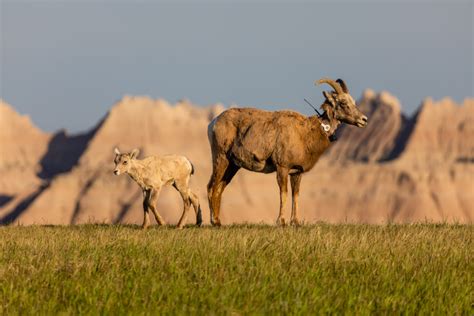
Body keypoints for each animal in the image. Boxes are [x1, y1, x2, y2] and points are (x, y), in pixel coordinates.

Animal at [206, 79, 366, 227]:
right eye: (343, 103)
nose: (363, 120)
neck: (306, 134)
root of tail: (213, 123)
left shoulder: (296, 172)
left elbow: (295, 195)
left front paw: (295, 222)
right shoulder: (282, 168)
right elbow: (284, 193)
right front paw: (281, 222)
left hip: (233, 166)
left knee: (219, 188)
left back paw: (218, 222)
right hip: (221, 159)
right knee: (211, 187)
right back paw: (214, 222)